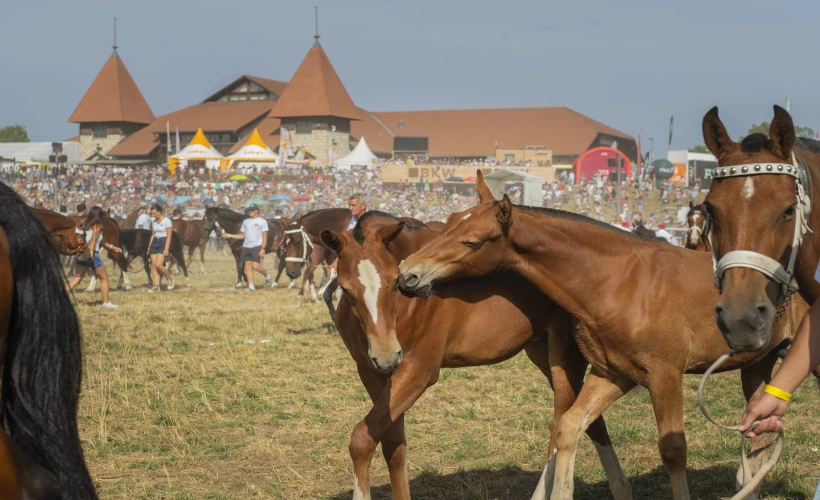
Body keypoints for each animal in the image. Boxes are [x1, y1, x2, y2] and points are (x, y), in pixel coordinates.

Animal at [322, 211, 631, 500]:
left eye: (393, 282)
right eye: (345, 289)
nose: (387, 355)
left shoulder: (417, 372)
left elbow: (362, 439)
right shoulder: (372, 373)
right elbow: (391, 442)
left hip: (565, 357)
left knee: (562, 421)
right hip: (541, 352)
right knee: (589, 420)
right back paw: (620, 487)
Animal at [396, 173, 810, 500]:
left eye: (472, 242)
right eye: (449, 223)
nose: (407, 274)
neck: (621, 283)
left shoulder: (665, 375)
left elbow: (673, 451)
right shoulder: (613, 373)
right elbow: (569, 426)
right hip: (756, 366)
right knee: (759, 437)